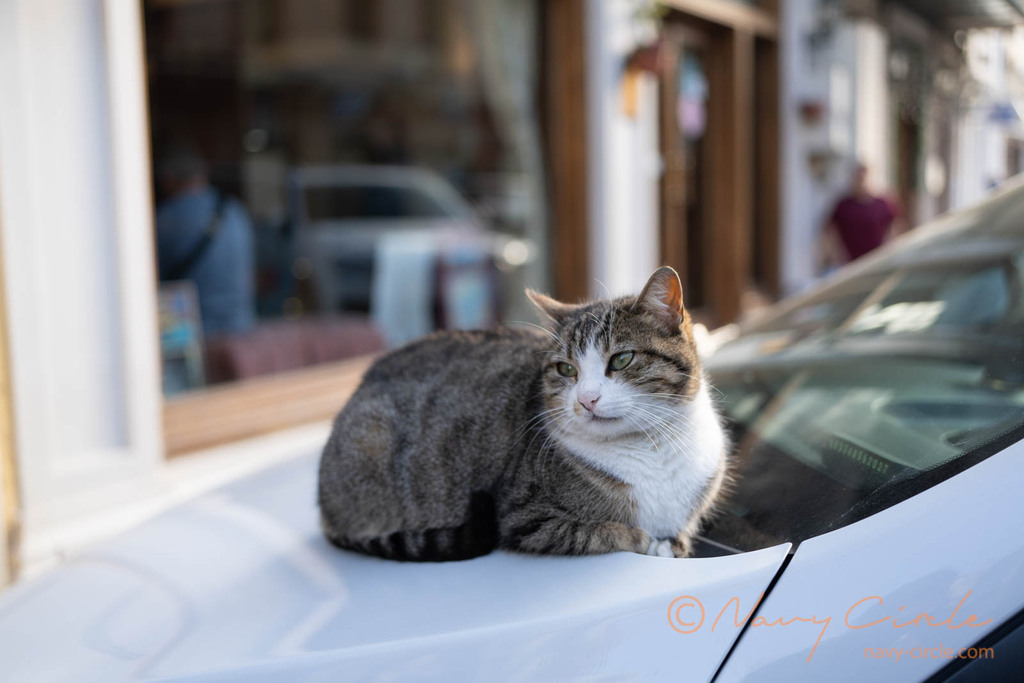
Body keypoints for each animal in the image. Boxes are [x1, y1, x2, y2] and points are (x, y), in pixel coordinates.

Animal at [319, 266, 729, 561]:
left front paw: (673, 544)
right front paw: (648, 541)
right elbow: (604, 532)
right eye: (566, 369)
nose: (586, 399)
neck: (653, 449)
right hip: (370, 438)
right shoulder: (525, 516)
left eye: (622, 359)